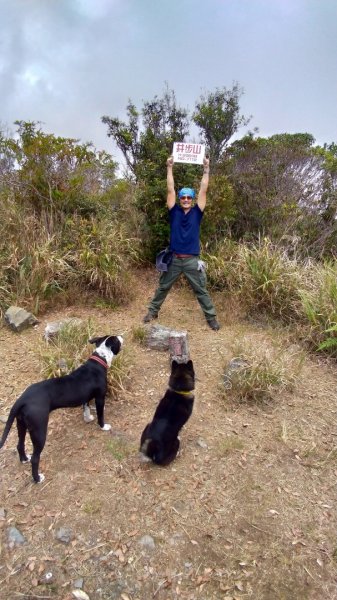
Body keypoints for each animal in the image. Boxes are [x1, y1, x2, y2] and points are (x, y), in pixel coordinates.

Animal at [0, 332, 122, 482]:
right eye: (117, 340)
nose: (122, 336)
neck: (100, 360)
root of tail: (22, 399)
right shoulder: (99, 398)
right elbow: (100, 415)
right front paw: (103, 426)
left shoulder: (85, 398)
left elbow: (86, 409)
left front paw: (88, 419)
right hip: (39, 430)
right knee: (35, 458)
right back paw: (37, 478)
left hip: (21, 424)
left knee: (20, 444)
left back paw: (24, 459)